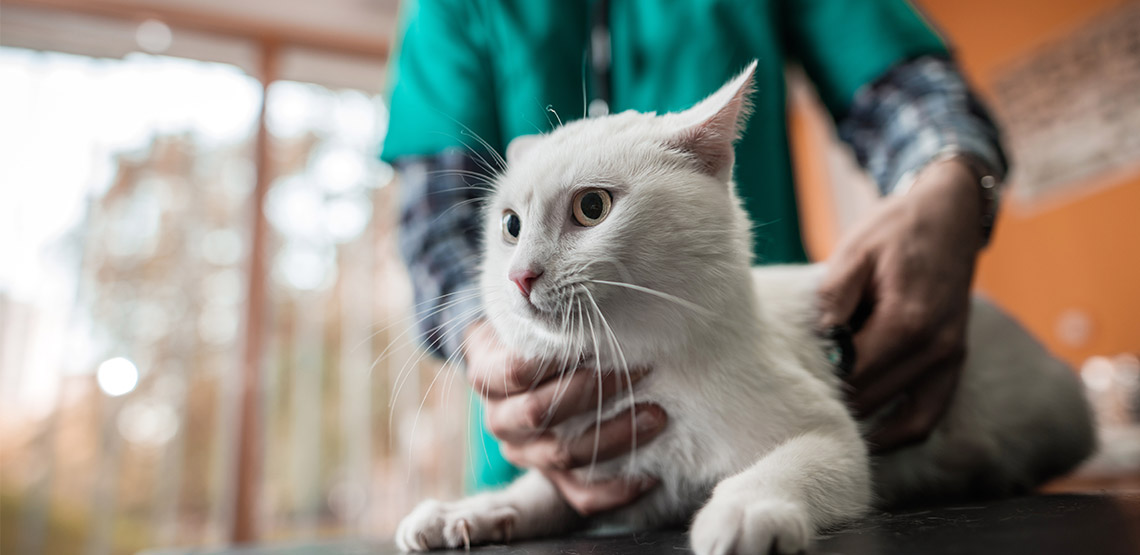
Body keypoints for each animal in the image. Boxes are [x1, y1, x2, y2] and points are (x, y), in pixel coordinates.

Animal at [399, 61, 1094, 555]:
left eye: (591, 208)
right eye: (510, 226)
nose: (519, 276)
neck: (645, 367)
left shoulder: (833, 438)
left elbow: (788, 465)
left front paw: (741, 512)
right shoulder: (606, 482)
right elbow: (541, 494)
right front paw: (462, 513)